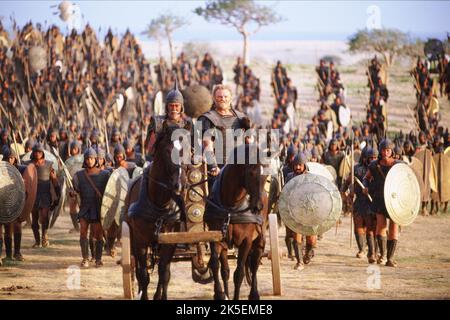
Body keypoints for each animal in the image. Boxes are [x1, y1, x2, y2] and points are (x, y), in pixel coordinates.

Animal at [127, 122, 187, 300]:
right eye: (168, 151)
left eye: (185, 150)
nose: (180, 185)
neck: (158, 204)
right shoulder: (139, 241)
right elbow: (143, 275)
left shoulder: (170, 241)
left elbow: (164, 273)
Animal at [206, 145, 268, 300]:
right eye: (251, 173)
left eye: (266, 176)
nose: (258, 206)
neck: (231, 207)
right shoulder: (216, 236)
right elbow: (217, 265)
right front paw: (220, 294)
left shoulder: (246, 241)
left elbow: (239, 273)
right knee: (226, 270)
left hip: (259, 239)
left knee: (254, 263)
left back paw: (254, 294)